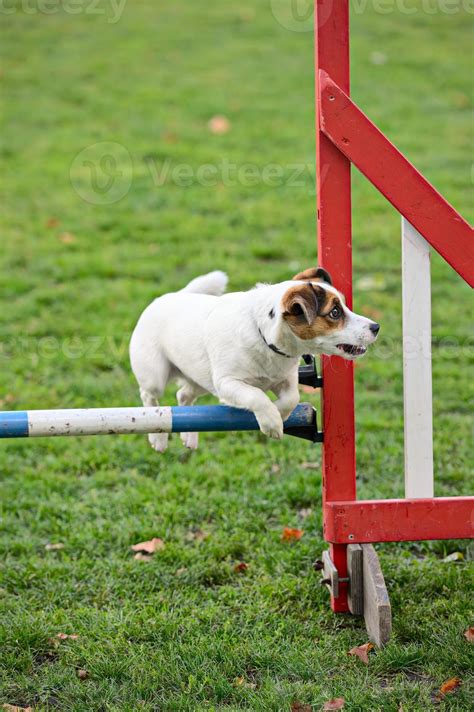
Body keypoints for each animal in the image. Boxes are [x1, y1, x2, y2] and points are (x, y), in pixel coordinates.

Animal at [131, 268, 382, 450]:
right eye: (335, 313)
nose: (376, 327)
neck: (265, 338)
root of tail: (174, 296)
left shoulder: (285, 379)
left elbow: (292, 398)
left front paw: (280, 414)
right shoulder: (228, 384)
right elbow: (257, 396)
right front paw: (271, 422)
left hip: (201, 380)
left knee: (183, 396)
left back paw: (189, 436)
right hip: (156, 376)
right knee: (150, 398)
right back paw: (158, 439)